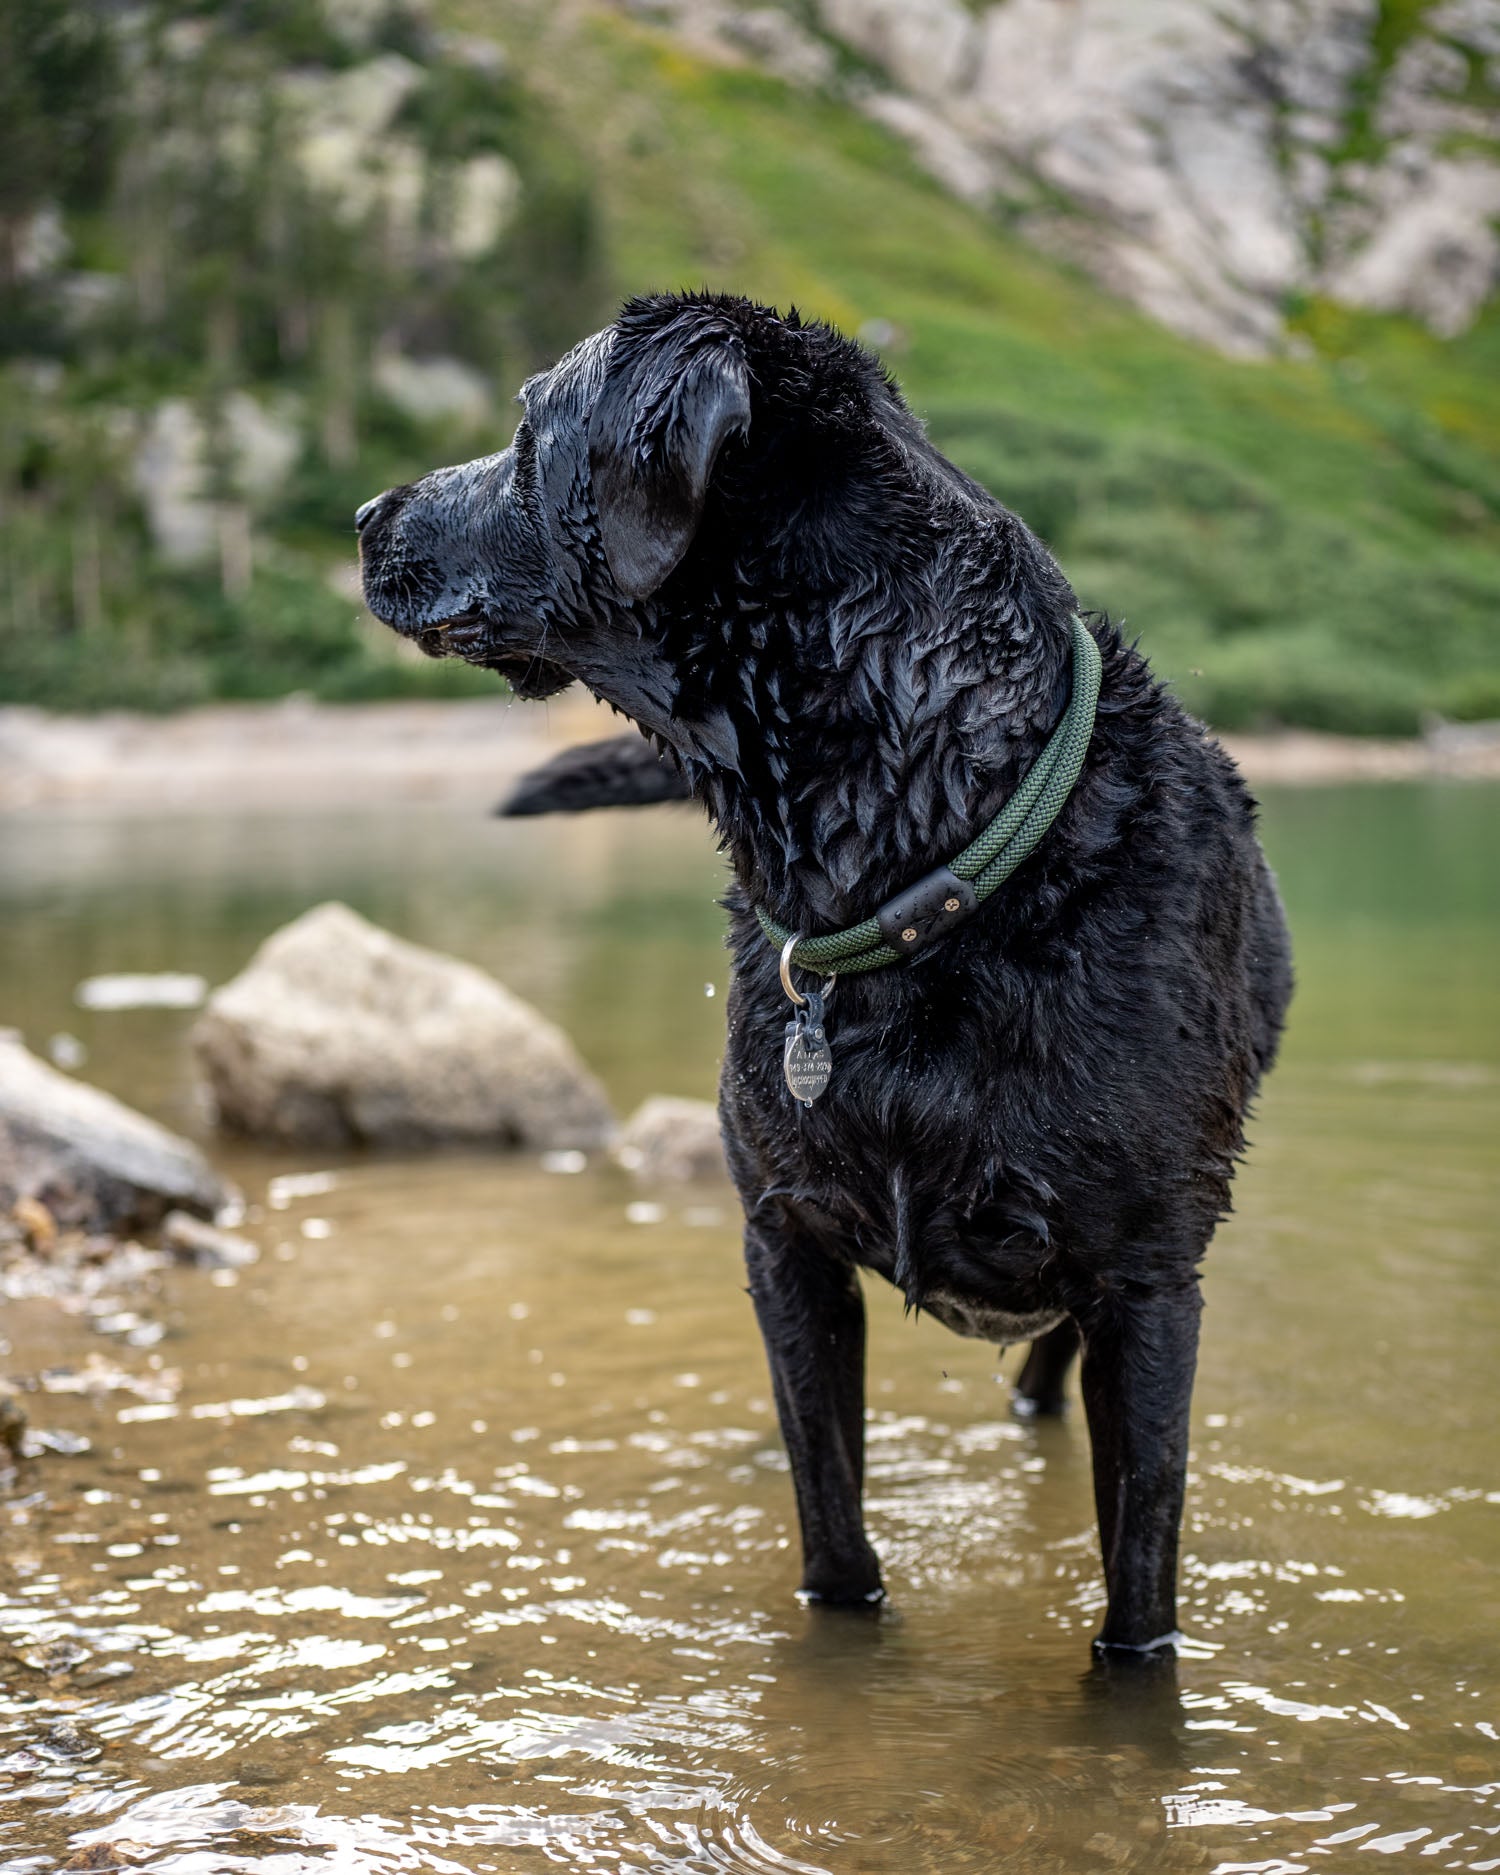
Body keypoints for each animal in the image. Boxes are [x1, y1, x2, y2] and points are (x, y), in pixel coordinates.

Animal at [354, 292, 1290, 1657]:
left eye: (530, 432)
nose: (364, 517)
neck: (923, 858)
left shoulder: (1152, 1281)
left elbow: (1139, 1590)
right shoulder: (785, 1242)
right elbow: (832, 1520)